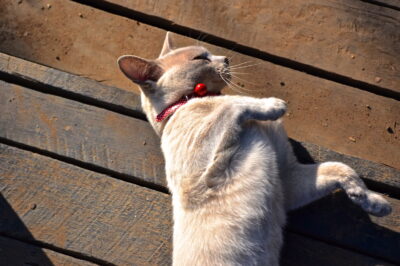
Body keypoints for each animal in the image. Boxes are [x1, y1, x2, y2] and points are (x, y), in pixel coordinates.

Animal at [117, 32, 392, 264]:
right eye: (200, 57)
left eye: (209, 54)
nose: (225, 58)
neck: (192, 100)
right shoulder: (206, 177)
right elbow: (235, 104)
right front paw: (273, 105)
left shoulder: (289, 180)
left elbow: (342, 168)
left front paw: (375, 203)